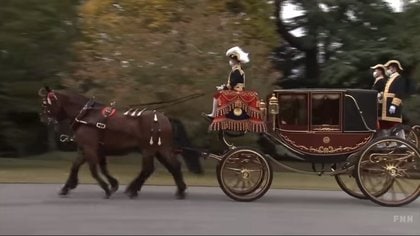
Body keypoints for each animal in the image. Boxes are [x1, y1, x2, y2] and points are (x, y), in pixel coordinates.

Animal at [38, 85, 187, 198]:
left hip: (149, 149)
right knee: (173, 166)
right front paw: (67, 187)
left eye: (45, 103)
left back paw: (133, 190)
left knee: (150, 169)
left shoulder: (89, 148)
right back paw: (180, 190)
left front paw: (106, 188)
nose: (42, 119)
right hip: (160, 149)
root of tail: (165, 118)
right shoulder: (86, 148)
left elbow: (93, 169)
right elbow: (77, 166)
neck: (85, 116)